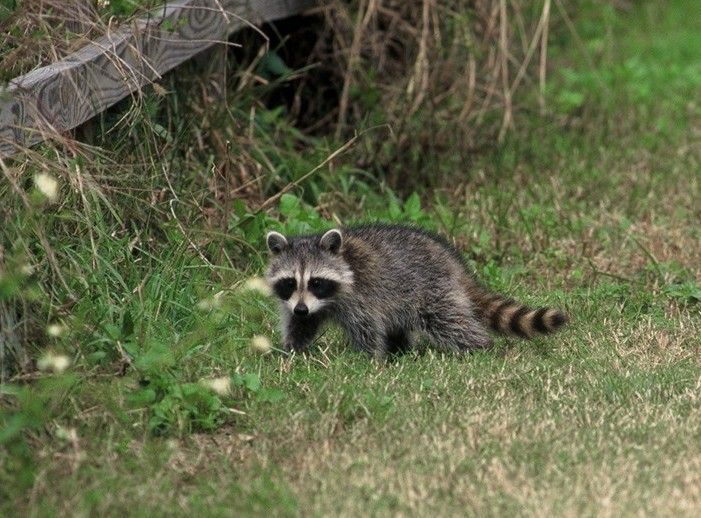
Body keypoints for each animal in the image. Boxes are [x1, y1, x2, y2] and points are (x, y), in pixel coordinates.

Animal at [266, 225, 568, 360]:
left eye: (316, 282)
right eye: (290, 282)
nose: (301, 308)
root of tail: (453, 263)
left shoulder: (361, 296)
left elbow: (367, 329)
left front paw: (370, 360)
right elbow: (301, 325)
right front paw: (291, 349)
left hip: (431, 291)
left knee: (450, 322)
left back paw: (478, 346)